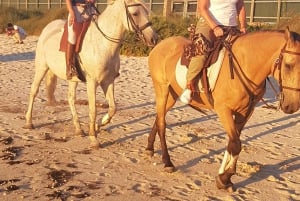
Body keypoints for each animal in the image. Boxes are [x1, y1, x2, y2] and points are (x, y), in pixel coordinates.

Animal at [24, 0, 157, 148]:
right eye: (135, 13)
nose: (154, 39)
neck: (102, 44)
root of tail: (48, 27)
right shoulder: (92, 83)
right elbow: (93, 110)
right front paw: (94, 138)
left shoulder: (108, 81)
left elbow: (113, 108)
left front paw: (99, 125)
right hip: (41, 68)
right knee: (33, 91)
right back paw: (29, 122)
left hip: (72, 79)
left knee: (71, 99)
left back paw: (78, 129)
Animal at [146, 27, 300, 192]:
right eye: (288, 65)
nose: (291, 106)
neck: (245, 65)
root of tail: (160, 44)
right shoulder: (223, 110)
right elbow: (236, 144)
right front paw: (224, 178)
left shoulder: (246, 112)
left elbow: (233, 143)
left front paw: (224, 176)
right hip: (162, 89)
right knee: (162, 123)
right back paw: (167, 162)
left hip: (171, 95)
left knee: (159, 117)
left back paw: (149, 148)